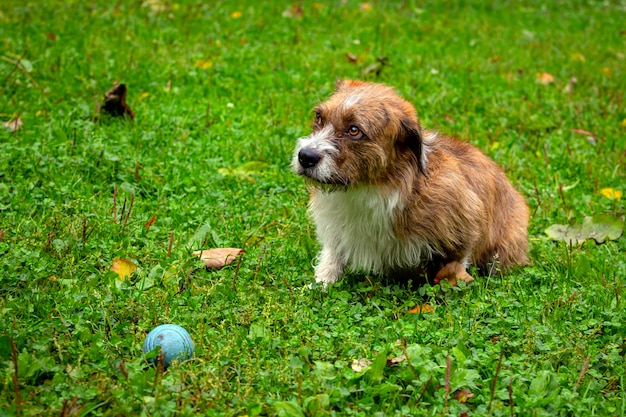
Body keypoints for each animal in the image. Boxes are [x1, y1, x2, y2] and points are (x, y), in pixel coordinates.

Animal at [292, 80, 528, 290]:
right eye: (319, 117)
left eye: (354, 130)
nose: (305, 156)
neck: (366, 187)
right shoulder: (336, 231)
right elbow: (332, 256)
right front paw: (322, 283)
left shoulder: (466, 218)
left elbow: (455, 264)